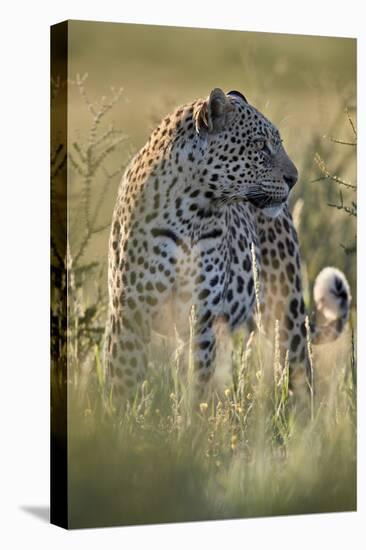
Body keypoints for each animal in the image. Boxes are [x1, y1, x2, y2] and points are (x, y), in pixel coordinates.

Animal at [103, 87, 352, 406]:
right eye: (260, 145)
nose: (294, 179)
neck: (192, 211)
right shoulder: (129, 314)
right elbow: (123, 382)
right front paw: (119, 415)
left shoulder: (203, 319)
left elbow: (198, 385)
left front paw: (192, 418)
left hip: (287, 311)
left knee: (298, 374)